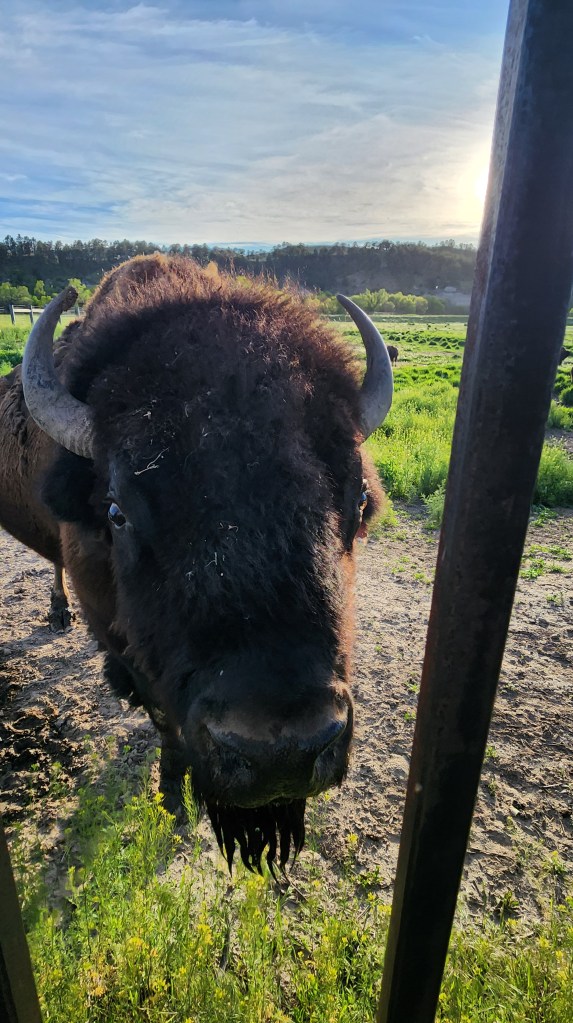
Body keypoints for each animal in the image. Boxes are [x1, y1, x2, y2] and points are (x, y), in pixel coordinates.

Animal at [0, 255, 393, 873]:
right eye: (116, 511)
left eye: (356, 503)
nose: (280, 753)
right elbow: (164, 721)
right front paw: (171, 799)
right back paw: (57, 613)